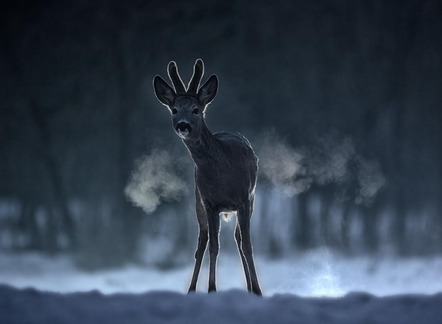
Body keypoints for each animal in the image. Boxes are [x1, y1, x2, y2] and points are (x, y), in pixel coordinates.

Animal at [153, 59, 260, 294]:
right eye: (174, 109)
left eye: (196, 110)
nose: (183, 125)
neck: (222, 175)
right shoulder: (210, 202)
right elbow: (213, 246)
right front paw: (212, 288)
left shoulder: (243, 199)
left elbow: (247, 245)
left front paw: (257, 290)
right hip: (197, 200)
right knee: (202, 240)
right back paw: (191, 288)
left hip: (250, 199)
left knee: (238, 238)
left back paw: (249, 287)